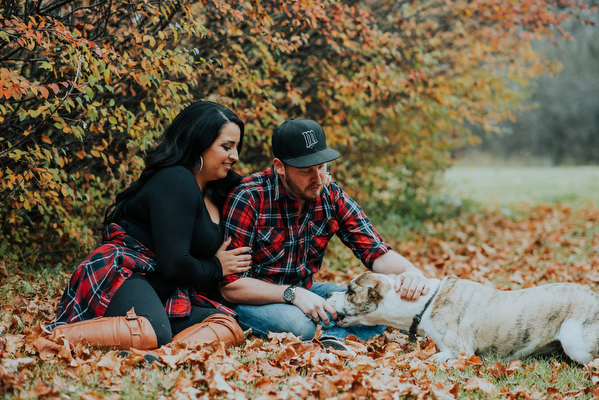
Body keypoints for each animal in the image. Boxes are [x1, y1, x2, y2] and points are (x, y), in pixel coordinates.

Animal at [326, 272, 599, 362]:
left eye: (350, 290)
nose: (327, 293)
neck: (426, 303)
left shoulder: (461, 351)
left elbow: (433, 358)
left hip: (576, 343)